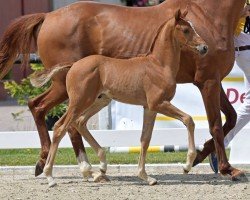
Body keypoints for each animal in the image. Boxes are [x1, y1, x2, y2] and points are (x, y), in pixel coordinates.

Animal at [33, 10, 209, 187]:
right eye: (186, 30)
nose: (204, 47)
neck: (159, 65)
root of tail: (74, 65)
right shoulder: (159, 103)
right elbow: (188, 120)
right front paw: (187, 166)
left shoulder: (149, 108)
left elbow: (145, 139)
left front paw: (145, 176)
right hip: (79, 101)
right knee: (60, 127)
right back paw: (50, 177)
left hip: (100, 101)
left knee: (79, 122)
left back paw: (101, 168)